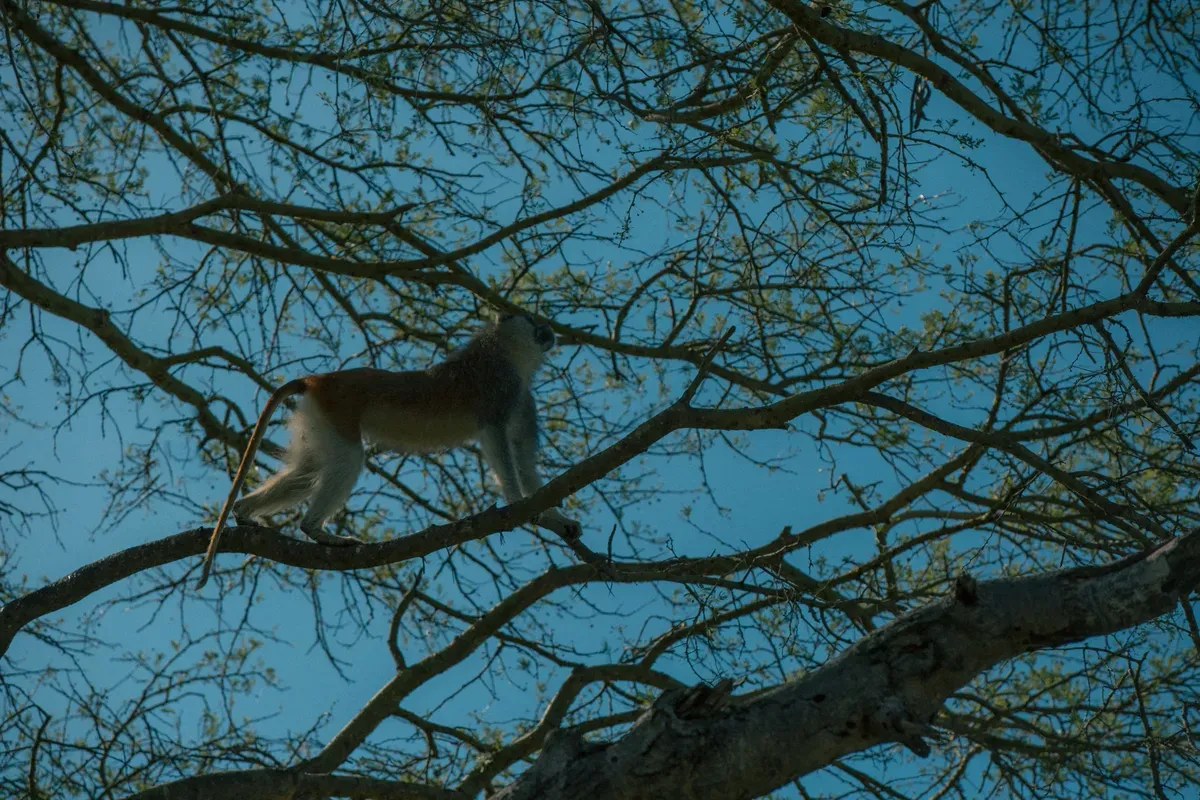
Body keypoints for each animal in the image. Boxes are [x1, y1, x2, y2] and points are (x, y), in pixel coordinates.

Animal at [195, 313, 581, 589]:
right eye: (530, 319)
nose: (548, 329)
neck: (503, 352)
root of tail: (318, 380)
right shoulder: (499, 389)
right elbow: (498, 443)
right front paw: (517, 505)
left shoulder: (522, 400)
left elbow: (525, 461)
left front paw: (554, 518)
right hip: (338, 408)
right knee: (349, 459)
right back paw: (317, 530)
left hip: (320, 416)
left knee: (308, 471)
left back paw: (245, 511)